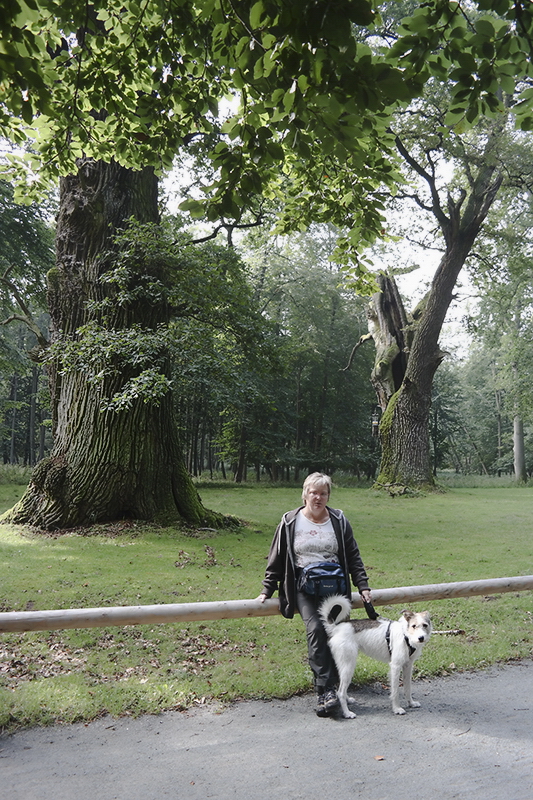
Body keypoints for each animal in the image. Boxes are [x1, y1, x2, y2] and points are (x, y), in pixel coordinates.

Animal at [318, 592, 430, 720]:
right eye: (414, 626)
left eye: (425, 625)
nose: (421, 638)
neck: (405, 635)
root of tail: (336, 628)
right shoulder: (395, 667)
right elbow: (395, 691)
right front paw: (397, 709)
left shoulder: (408, 666)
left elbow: (407, 687)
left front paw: (411, 703)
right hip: (348, 665)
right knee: (340, 692)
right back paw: (347, 713)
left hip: (344, 666)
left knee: (340, 689)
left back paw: (348, 700)